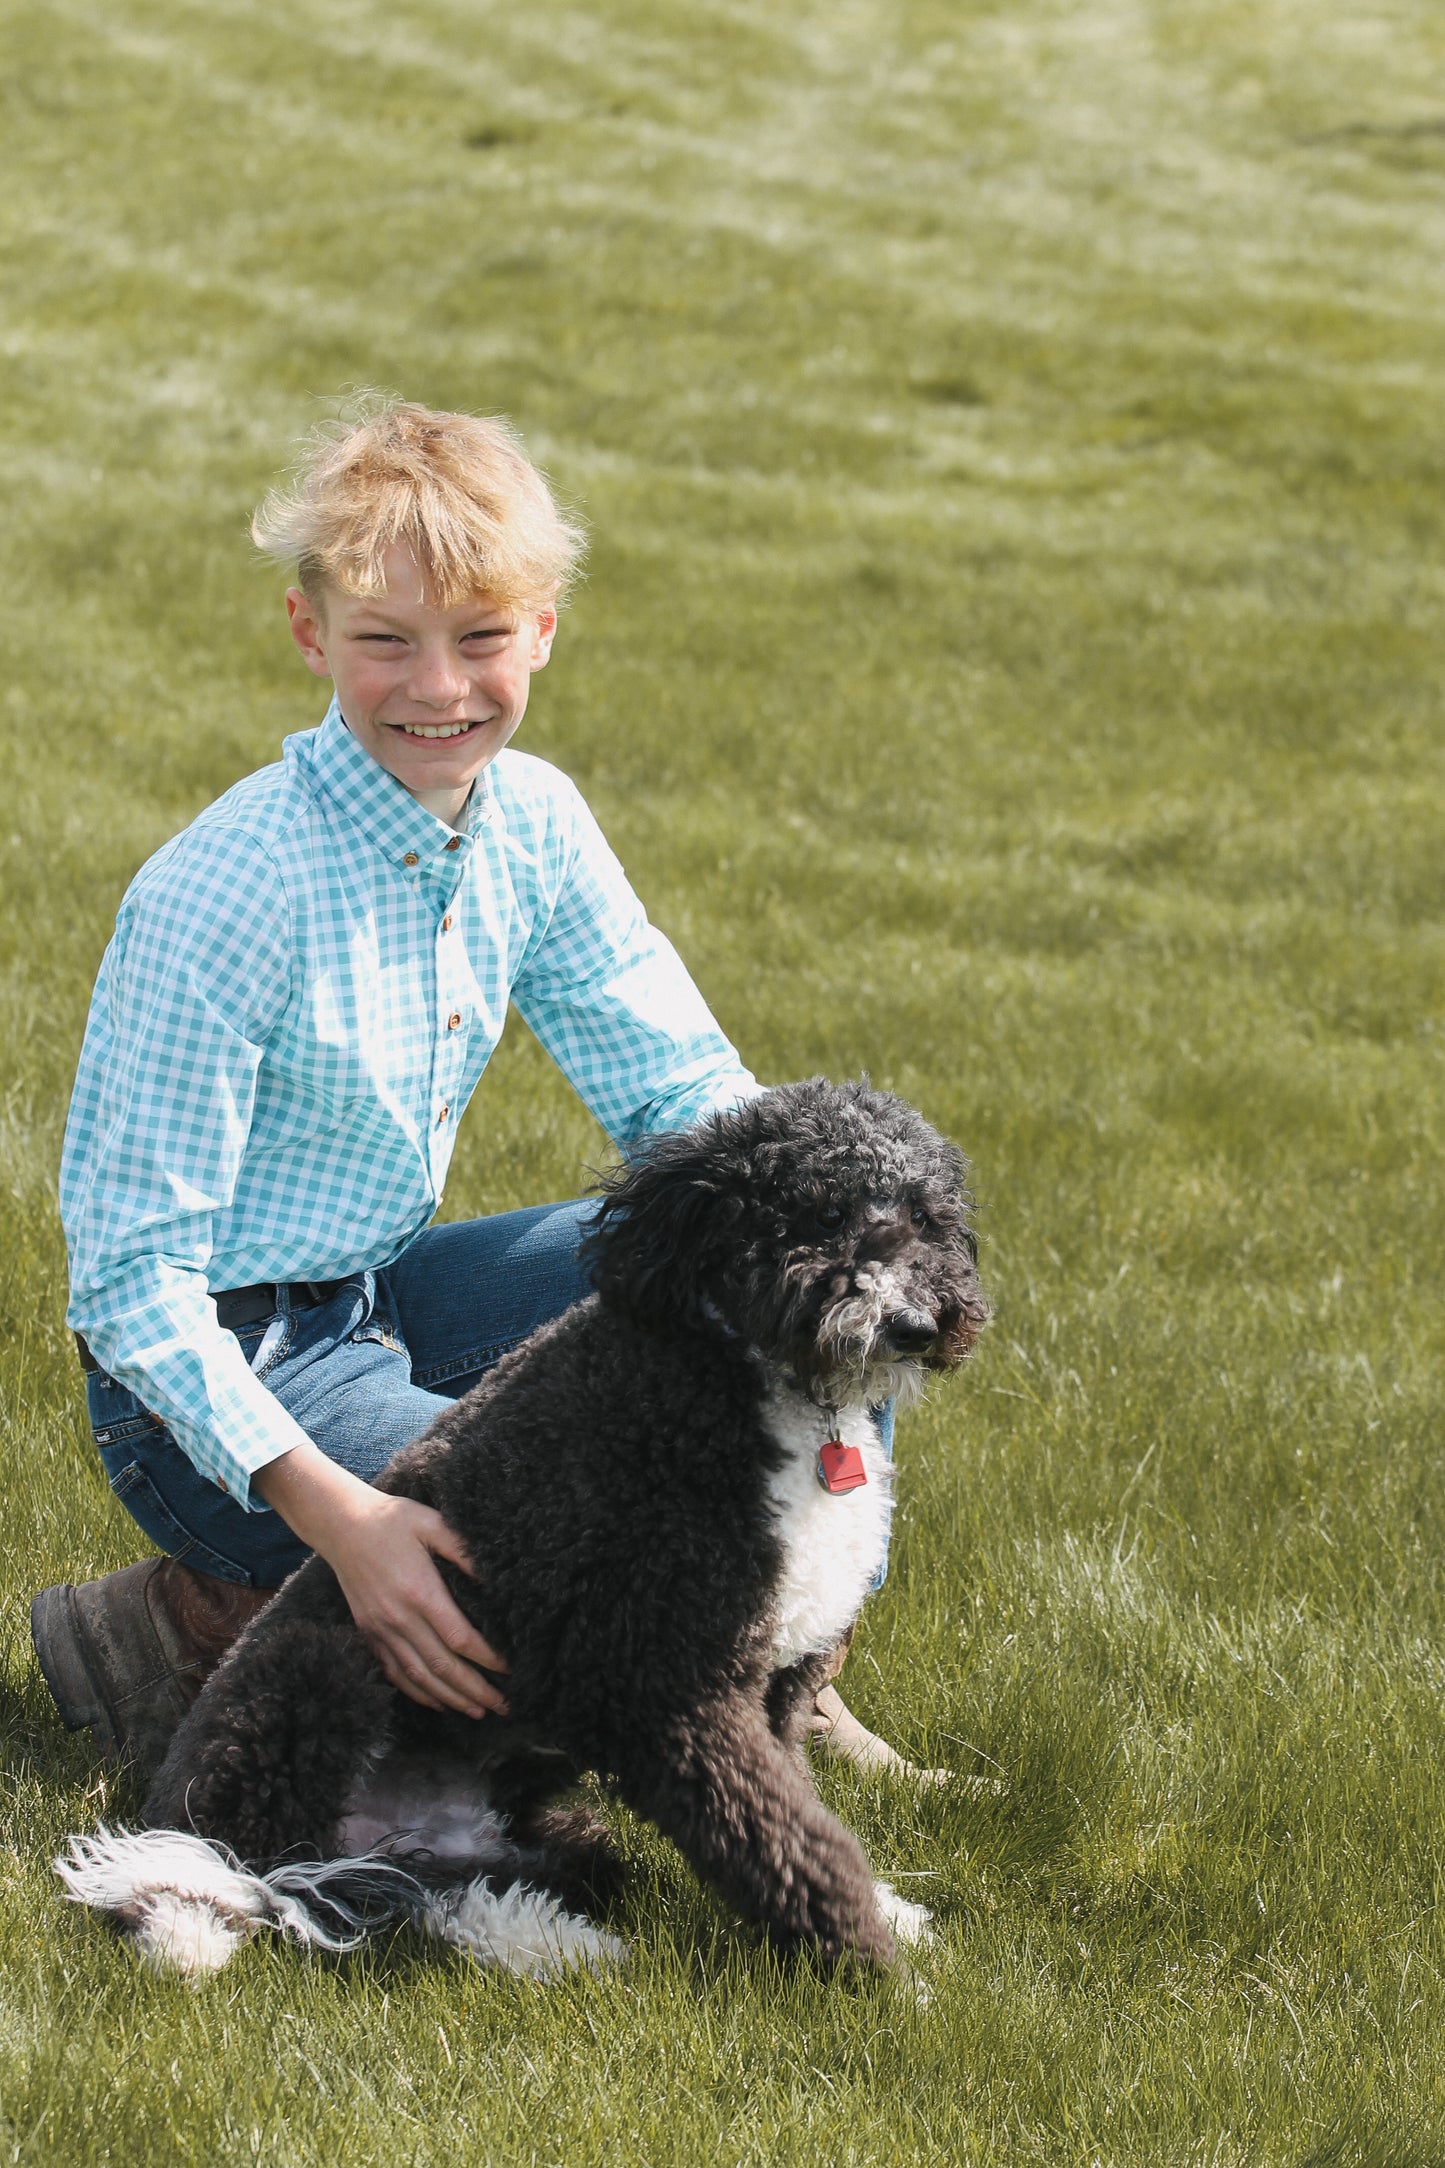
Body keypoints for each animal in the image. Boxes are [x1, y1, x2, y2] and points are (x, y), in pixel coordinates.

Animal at [62, 1075, 987, 1977]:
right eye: (823, 1213)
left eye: (925, 1216)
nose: (916, 1325)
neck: (740, 1376)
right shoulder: (673, 1688)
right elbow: (788, 1843)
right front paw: (875, 1972)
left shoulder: (772, 1687)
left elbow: (805, 1811)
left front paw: (889, 1919)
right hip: (318, 1678)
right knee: (298, 1884)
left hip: (524, 1830)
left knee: (434, 1896)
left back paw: (563, 1943)